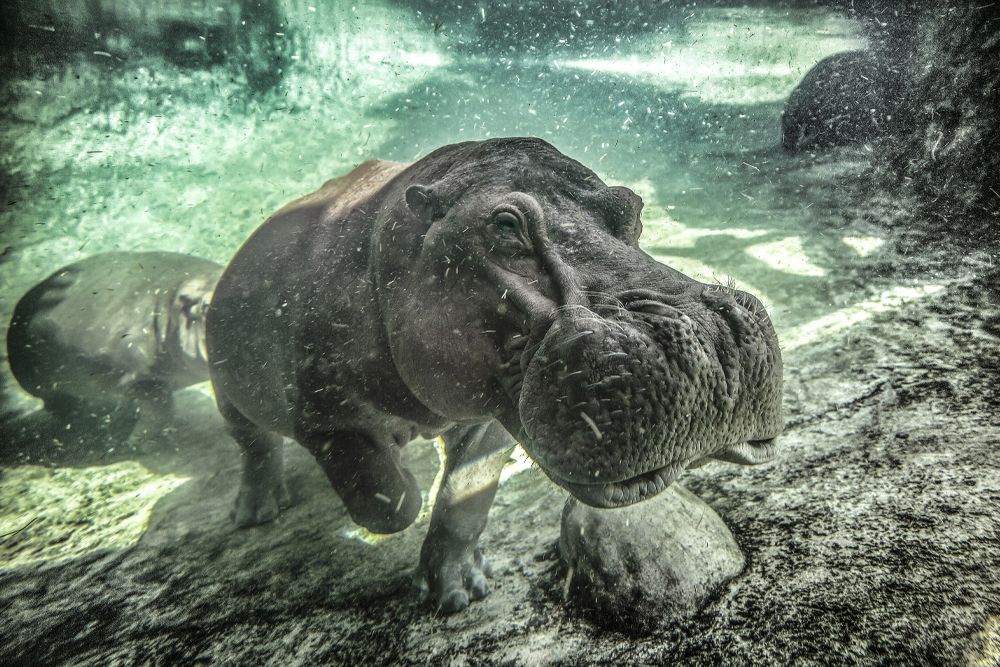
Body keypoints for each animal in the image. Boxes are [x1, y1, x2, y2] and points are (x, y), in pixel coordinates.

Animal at [6, 251, 222, 445]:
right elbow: (160, 411)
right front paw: (139, 443)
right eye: (205, 306)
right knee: (59, 404)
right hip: (47, 386)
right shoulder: (141, 378)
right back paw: (82, 422)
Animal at [207, 137, 784, 613]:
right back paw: (256, 511)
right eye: (504, 225)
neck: (386, 247)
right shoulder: (329, 419)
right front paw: (407, 478)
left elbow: (465, 496)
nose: (710, 337)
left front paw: (459, 590)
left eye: (632, 208)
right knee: (253, 444)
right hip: (225, 389)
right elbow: (389, 501)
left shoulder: (489, 415)